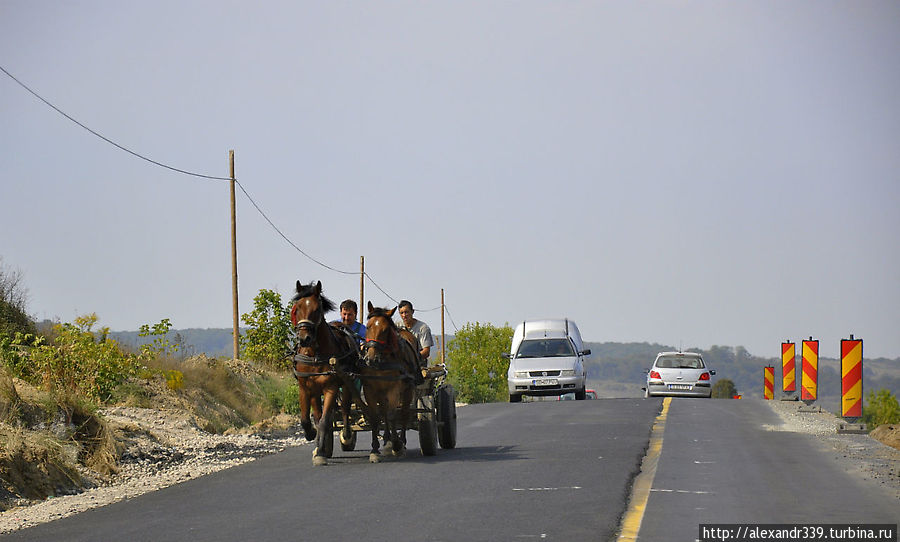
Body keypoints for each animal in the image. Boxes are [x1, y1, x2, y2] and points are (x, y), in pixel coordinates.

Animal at [288, 280, 358, 468]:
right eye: (297, 308)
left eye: (317, 309)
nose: (304, 338)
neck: (315, 354)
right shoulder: (305, 388)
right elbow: (307, 419)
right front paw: (312, 435)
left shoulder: (331, 388)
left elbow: (326, 420)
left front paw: (320, 453)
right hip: (315, 391)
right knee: (318, 416)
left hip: (347, 384)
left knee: (346, 409)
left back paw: (346, 435)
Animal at [362, 302, 418, 464]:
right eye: (367, 326)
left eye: (385, 330)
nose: (371, 359)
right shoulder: (370, 389)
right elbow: (375, 416)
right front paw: (375, 450)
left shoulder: (394, 388)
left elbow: (393, 415)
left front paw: (397, 445)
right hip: (382, 392)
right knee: (384, 411)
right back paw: (387, 439)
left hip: (407, 390)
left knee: (404, 413)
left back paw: (401, 442)